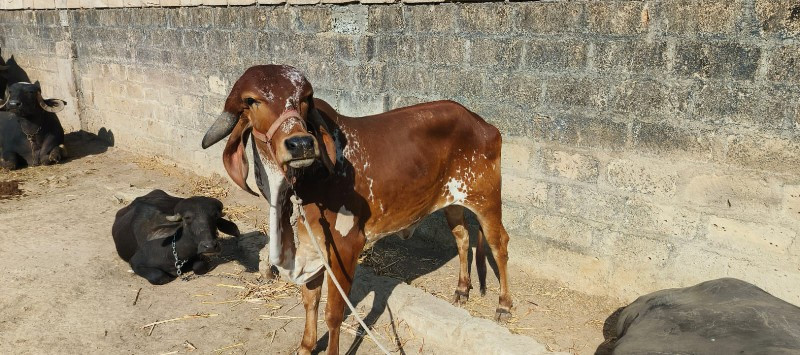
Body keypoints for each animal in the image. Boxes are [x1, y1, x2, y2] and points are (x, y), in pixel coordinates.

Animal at [202, 64, 512, 355]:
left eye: (304, 99)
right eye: (251, 100)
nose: (301, 144)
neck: (305, 180)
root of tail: (482, 123)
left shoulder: (346, 245)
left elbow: (333, 313)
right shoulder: (312, 242)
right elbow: (310, 299)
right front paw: (306, 345)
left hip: (486, 200)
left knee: (499, 244)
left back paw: (504, 305)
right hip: (454, 203)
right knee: (462, 237)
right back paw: (462, 289)